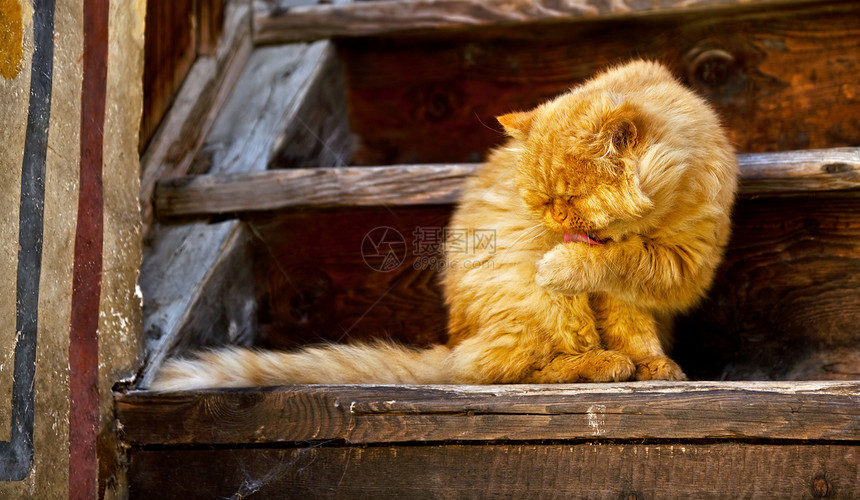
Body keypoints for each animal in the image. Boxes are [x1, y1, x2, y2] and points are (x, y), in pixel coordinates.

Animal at [151, 60, 736, 390]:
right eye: (540, 200)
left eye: (568, 199)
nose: (552, 221)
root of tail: (453, 343)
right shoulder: (623, 281)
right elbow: (615, 283)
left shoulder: (682, 265)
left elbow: (629, 282)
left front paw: (656, 366)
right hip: (529, 298)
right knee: (503, 369)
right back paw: (599, 365)